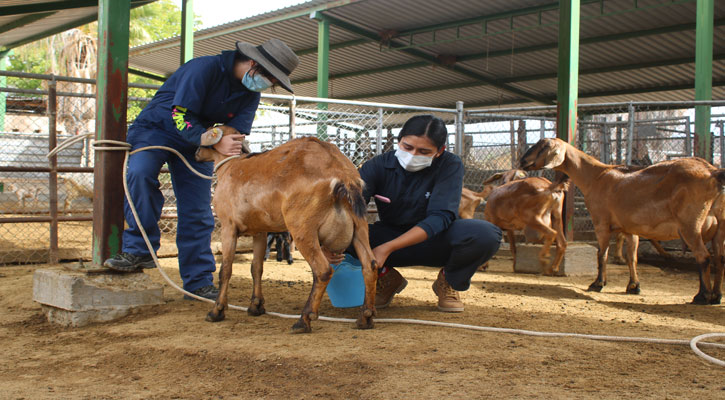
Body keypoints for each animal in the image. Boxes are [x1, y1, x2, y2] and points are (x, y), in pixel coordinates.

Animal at [198, 127, 378, 332]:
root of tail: (342, 174)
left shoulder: (228, 227)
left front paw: (217, 311)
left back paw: (304, 320)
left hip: (302, 229)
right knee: (370, 265)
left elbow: (225, 270)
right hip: (360, 227)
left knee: (323, 270)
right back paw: (365, 318)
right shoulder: (260, 232)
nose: (196, 153)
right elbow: (256, 267)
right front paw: (256, 306)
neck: (231, 166)